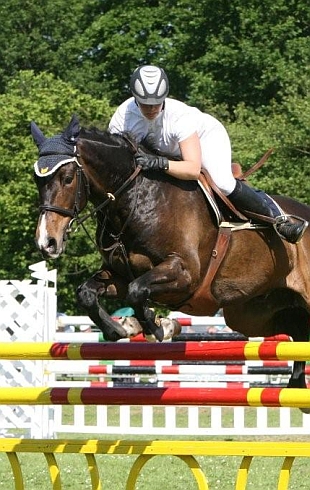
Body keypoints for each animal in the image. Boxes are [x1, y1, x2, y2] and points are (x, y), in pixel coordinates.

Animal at [30, 114, 310, 390]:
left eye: (67, 178)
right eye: (37, 180)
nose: (47, 242)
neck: (136, 201)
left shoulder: (185, 273)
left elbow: (137, 292)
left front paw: (160, 327)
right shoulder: (120, 276)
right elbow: (88, 293)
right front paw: (124, 330)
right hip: (250, 312)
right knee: (297, 330)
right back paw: (295, 384)